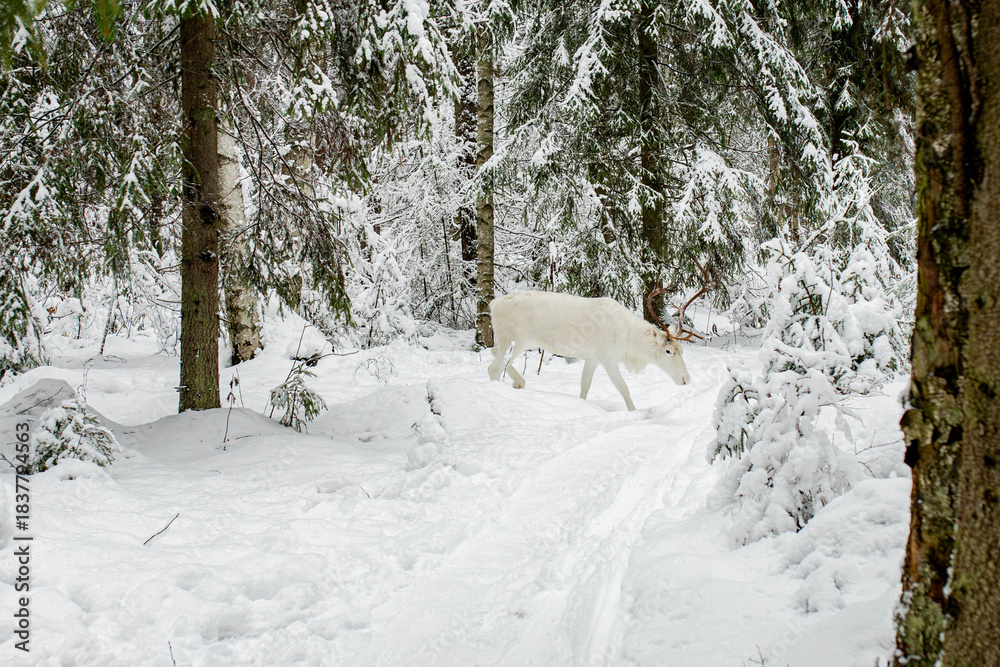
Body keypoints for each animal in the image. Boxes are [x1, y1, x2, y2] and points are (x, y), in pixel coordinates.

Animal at [487, 263, 716, 411]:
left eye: (682, 350)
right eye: (668, 351)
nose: (686, 379)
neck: (629, 342)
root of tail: (493, 305)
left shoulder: (592, 359)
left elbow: (584, 388)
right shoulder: (608, 358)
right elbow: (624, 389)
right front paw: (635, 413)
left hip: (522, 342)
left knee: (495, 352)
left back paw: (519, 382)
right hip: (513, 338)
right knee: (494, 367)